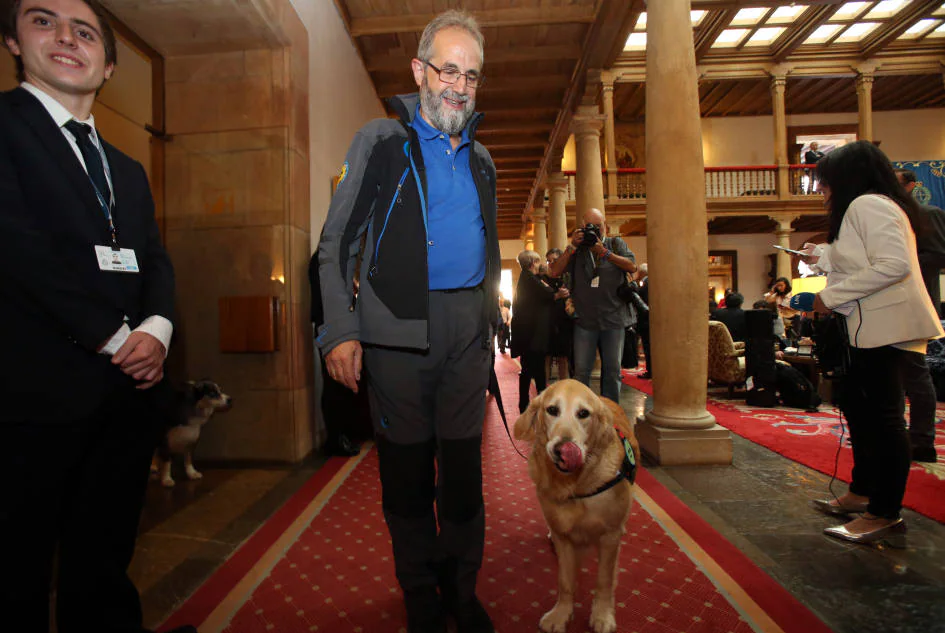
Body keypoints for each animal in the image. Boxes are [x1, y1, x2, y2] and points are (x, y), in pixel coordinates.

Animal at [512, 378, 636, 632]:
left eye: (583, 413)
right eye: (552, 410)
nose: (563, 450)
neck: (575, 485)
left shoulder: (610, 537)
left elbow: (604, 580)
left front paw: (602, 615)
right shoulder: (564, 537)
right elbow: (566, 581)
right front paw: (561, 613)